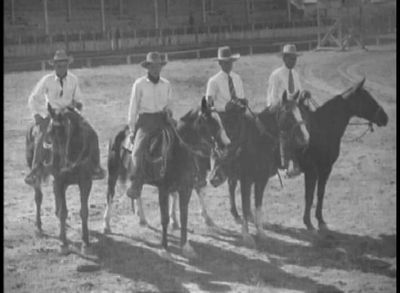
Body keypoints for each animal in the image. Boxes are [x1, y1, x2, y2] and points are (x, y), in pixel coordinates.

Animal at [102, 97, 231, 258]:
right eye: (210, 121)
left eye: (219, 120)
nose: (227, 143)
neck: (178, 150)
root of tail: (118, 131)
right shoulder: (163, 190)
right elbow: (164, 218)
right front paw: (164, 248)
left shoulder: (186, 188)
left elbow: (184, 216)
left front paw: (186, 246)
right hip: (113, 171)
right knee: (110, 194)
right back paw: (106, 225)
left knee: (137, 193)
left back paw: (142, 219)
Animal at [209, 91, 310, 246]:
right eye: (288, 114)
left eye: (300, 112)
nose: (306, 138)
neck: (258, 141)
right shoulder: (246, 181)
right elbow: (245, 205)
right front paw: (246, 236)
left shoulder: (261, 180)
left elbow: (258, 205)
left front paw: (261, 232)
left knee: (231, 187)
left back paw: (235, 214)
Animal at [294, 77, 388, 230]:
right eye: (367, 98)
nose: (385, 118)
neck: (323, 127)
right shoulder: (312, 170)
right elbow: (309, 195)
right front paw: (308, 222)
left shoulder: (325, 169)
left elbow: (320, 193)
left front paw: (320, 219)